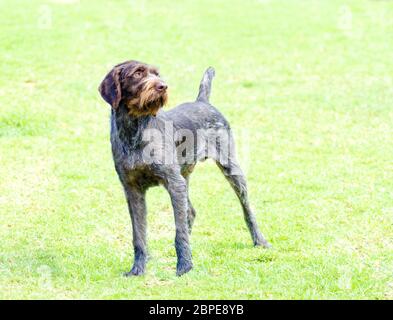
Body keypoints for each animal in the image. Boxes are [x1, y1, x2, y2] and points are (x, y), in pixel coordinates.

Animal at [98, 61, 270, 276]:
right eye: (137, 73)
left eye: (156, 73)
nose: (162, 86)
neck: (134, 130)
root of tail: (202, 102)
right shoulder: (132, 190)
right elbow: (138, 235)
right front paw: (138, 268)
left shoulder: (173, 182)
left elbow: (178, 232)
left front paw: (184, 266)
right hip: (184, 176)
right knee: (190, 212)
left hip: (231, 170)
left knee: (247, 209)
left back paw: (260, 240)